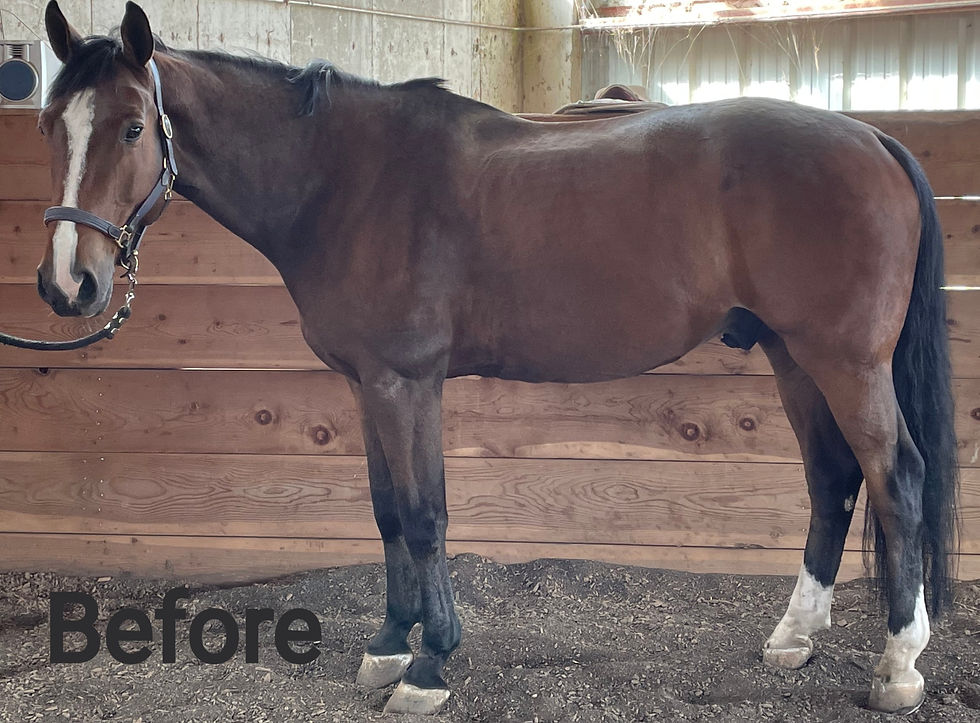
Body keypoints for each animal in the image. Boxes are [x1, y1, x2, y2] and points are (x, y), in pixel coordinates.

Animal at [35, 1, 958, 715]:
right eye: (50, 127)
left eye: (132, 127)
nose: (68, 283)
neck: (346, 182)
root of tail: (873, 138)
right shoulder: (367, 384)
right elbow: (386, 512)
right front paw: (387, 643)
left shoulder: (407, 382)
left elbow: (425, 514)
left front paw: (429, 665)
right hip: (794, 356)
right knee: (834, 479)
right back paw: (794, 638)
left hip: (847, 363)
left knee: (897, 478)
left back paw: (898, 665)